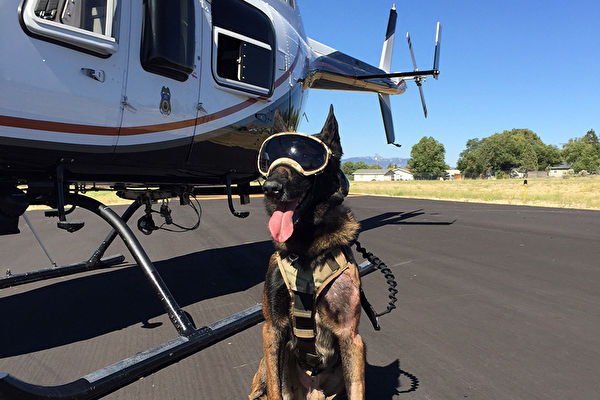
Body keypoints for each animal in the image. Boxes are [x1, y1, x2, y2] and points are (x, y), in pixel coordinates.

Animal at [249, 106, 365, 400]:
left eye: (309, 159)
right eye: (269, 159)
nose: (270, 188)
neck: (307, 250)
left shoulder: (351, 337)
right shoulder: (272, 329)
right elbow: (276, 390)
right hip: (262, 370)